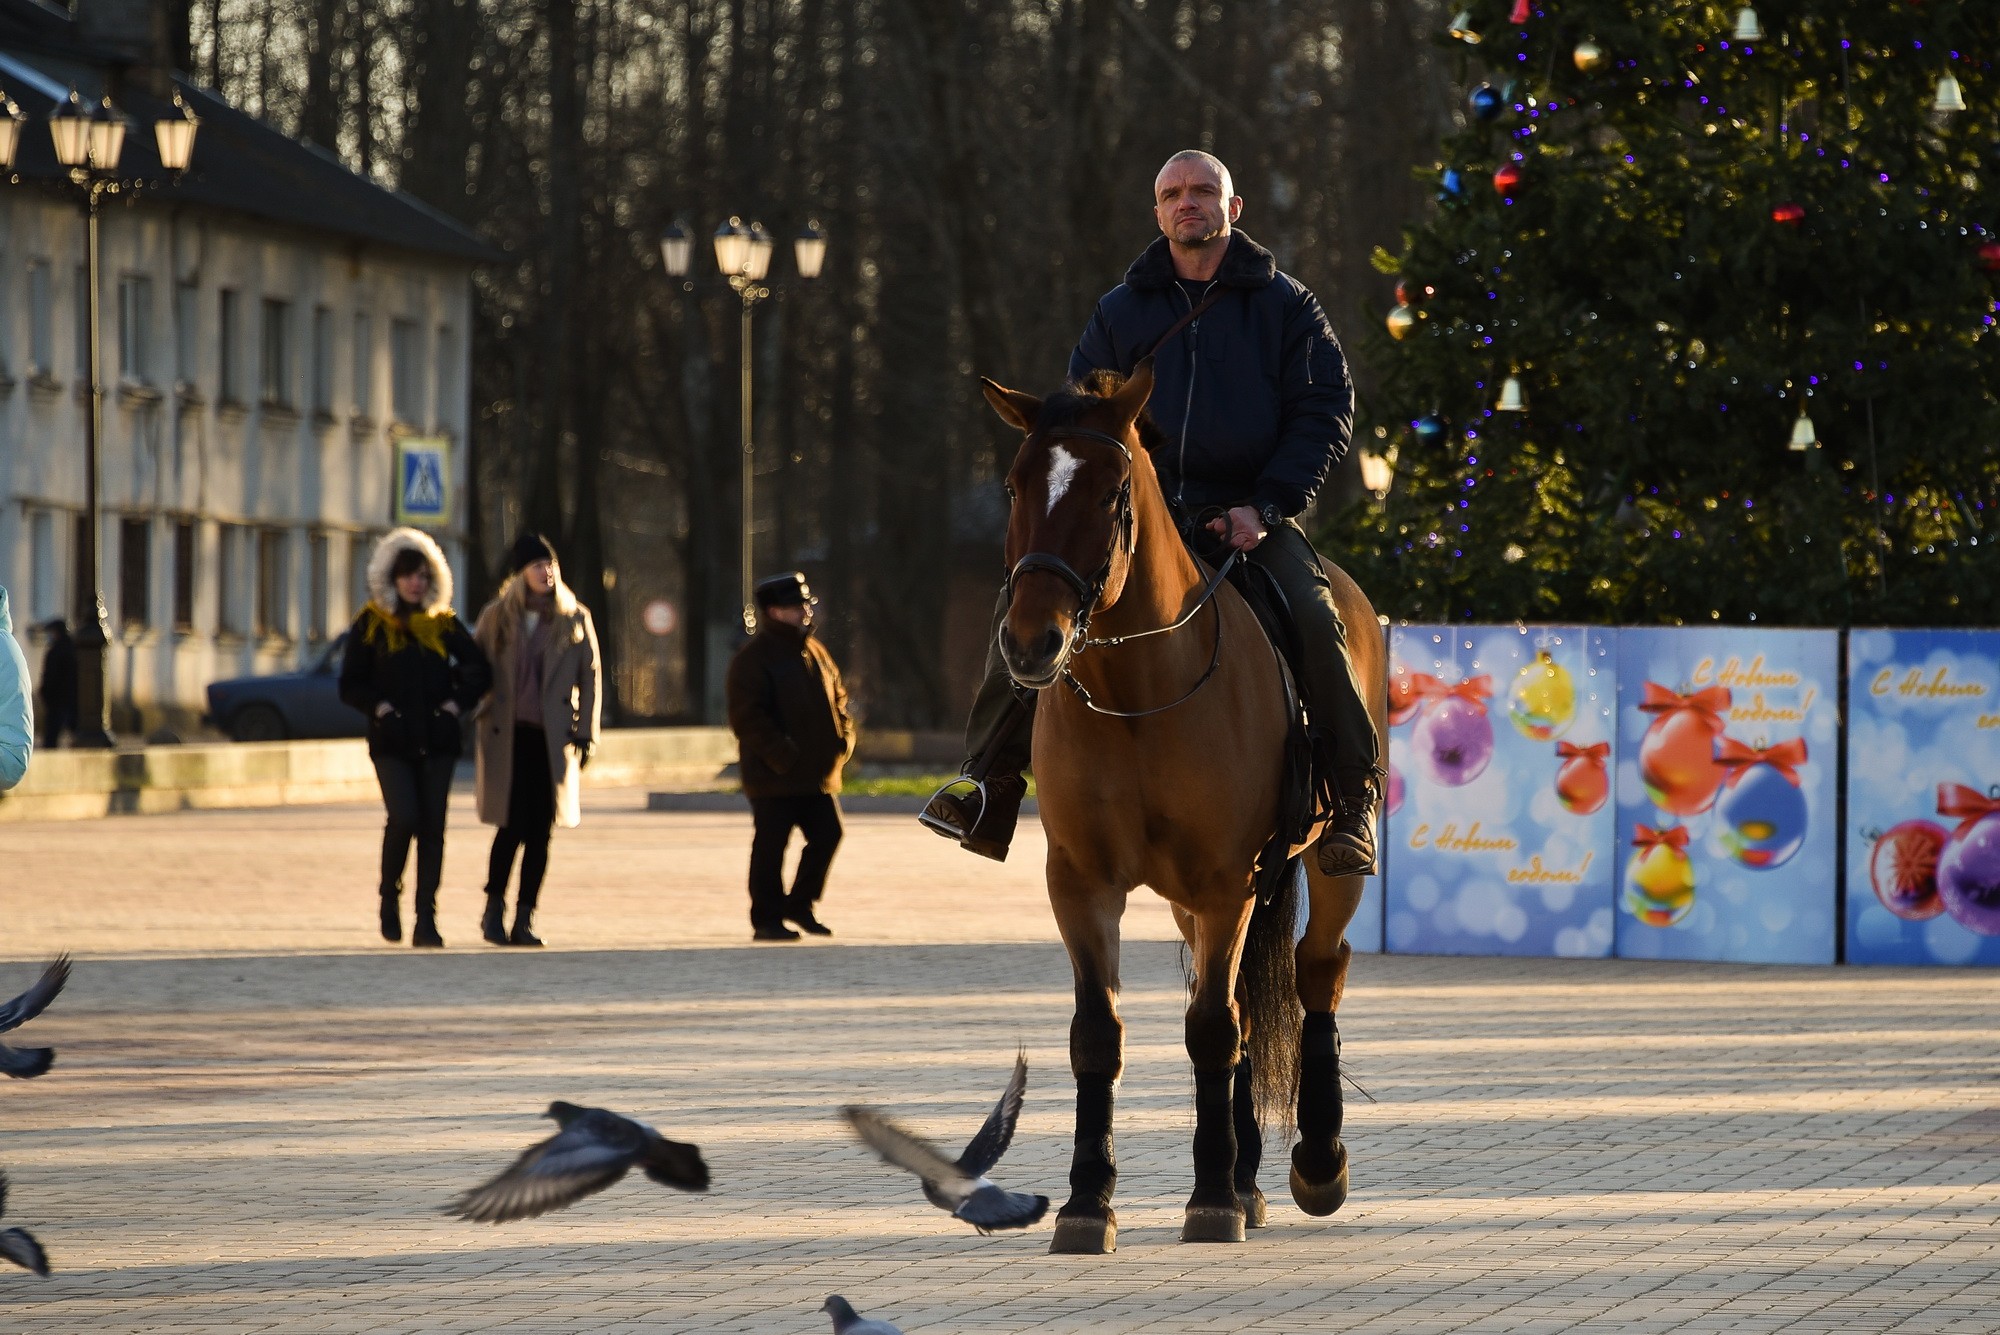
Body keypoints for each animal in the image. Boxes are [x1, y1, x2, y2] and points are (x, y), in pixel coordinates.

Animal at [984, 357, 1392, 1255]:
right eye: (1015, 483)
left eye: (1111, 493)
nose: (1030, 642)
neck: (1139, 692)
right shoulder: (1083, 884)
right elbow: (1101, 1033)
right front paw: (1088, 1201)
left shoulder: (1223, 880)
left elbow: (1211, 1027)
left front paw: (1208, 1199)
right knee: (1240, 1003)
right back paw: (1246, 1180)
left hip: (1322, 867)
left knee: (1317, 969)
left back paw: (1315, 1162)